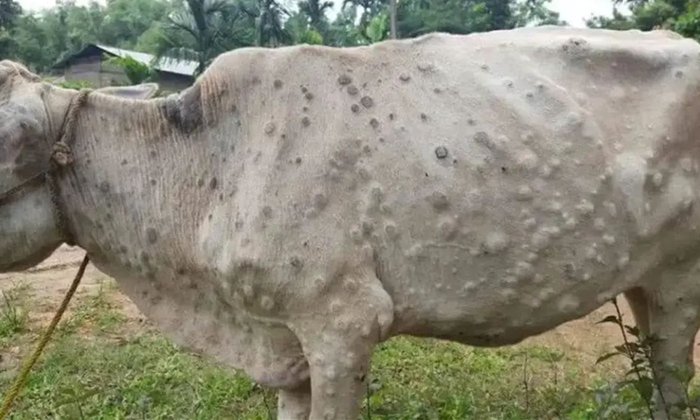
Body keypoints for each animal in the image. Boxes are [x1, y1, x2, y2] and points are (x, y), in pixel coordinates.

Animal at [1, 25, 700, 419]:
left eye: (10, 140)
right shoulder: (285, 343)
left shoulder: (344, 323)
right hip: (643, 280)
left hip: (681, 276)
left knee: (672, 380)